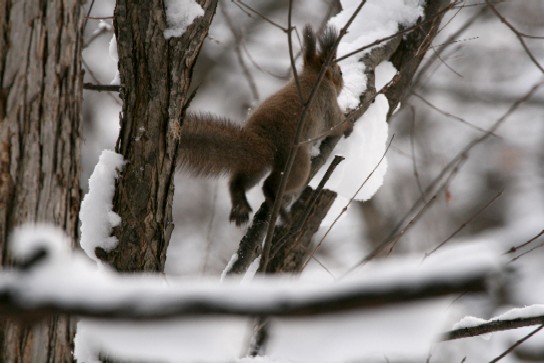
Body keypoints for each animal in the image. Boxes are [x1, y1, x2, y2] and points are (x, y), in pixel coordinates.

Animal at [176, 24, 350, 225]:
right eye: (340, 72)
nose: (344, 83)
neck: (315, 77)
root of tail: (263, 140)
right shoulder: (329, 105)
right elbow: (337, 123)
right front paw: (349, 122)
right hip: (295, 163)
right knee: (270, 185)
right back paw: (280, 210)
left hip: (257, 166)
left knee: (238, 181)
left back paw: (240, 206)